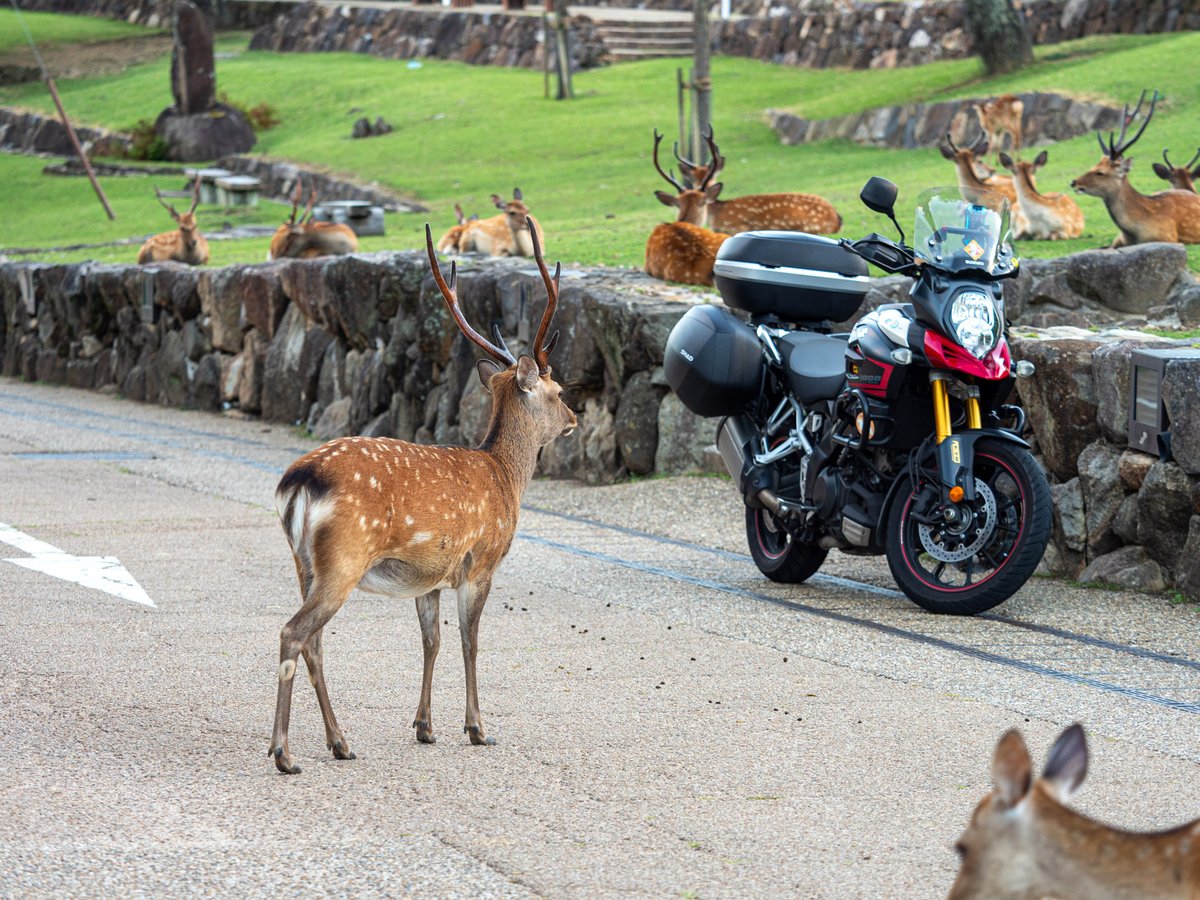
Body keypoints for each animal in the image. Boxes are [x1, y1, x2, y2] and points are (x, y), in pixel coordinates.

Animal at [268, 217, 577, 775]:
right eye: (559, 390)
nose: (574, 420)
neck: (504, 477)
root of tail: (299, 481)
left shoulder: (429, 574)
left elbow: (431, 642)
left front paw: (425, 726)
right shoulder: (480, 561)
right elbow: (470, 642)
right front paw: (477, 729)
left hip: (303, 561)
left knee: (314, 641)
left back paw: (339, 742)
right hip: (344, 557)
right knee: (294, 633)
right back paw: (284, 753)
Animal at [671, 129, 842, 235]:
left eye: (713, 177)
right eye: (694, 180)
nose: (704, 188)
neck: (716, 215)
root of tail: (837, 218)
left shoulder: (737, 227)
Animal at [1071, 90, 1200, 246]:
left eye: (1100, 172)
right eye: (1093, 165)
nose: (1074, 182)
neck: (1134, 233)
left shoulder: (1168, 238)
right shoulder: (1118, 240)